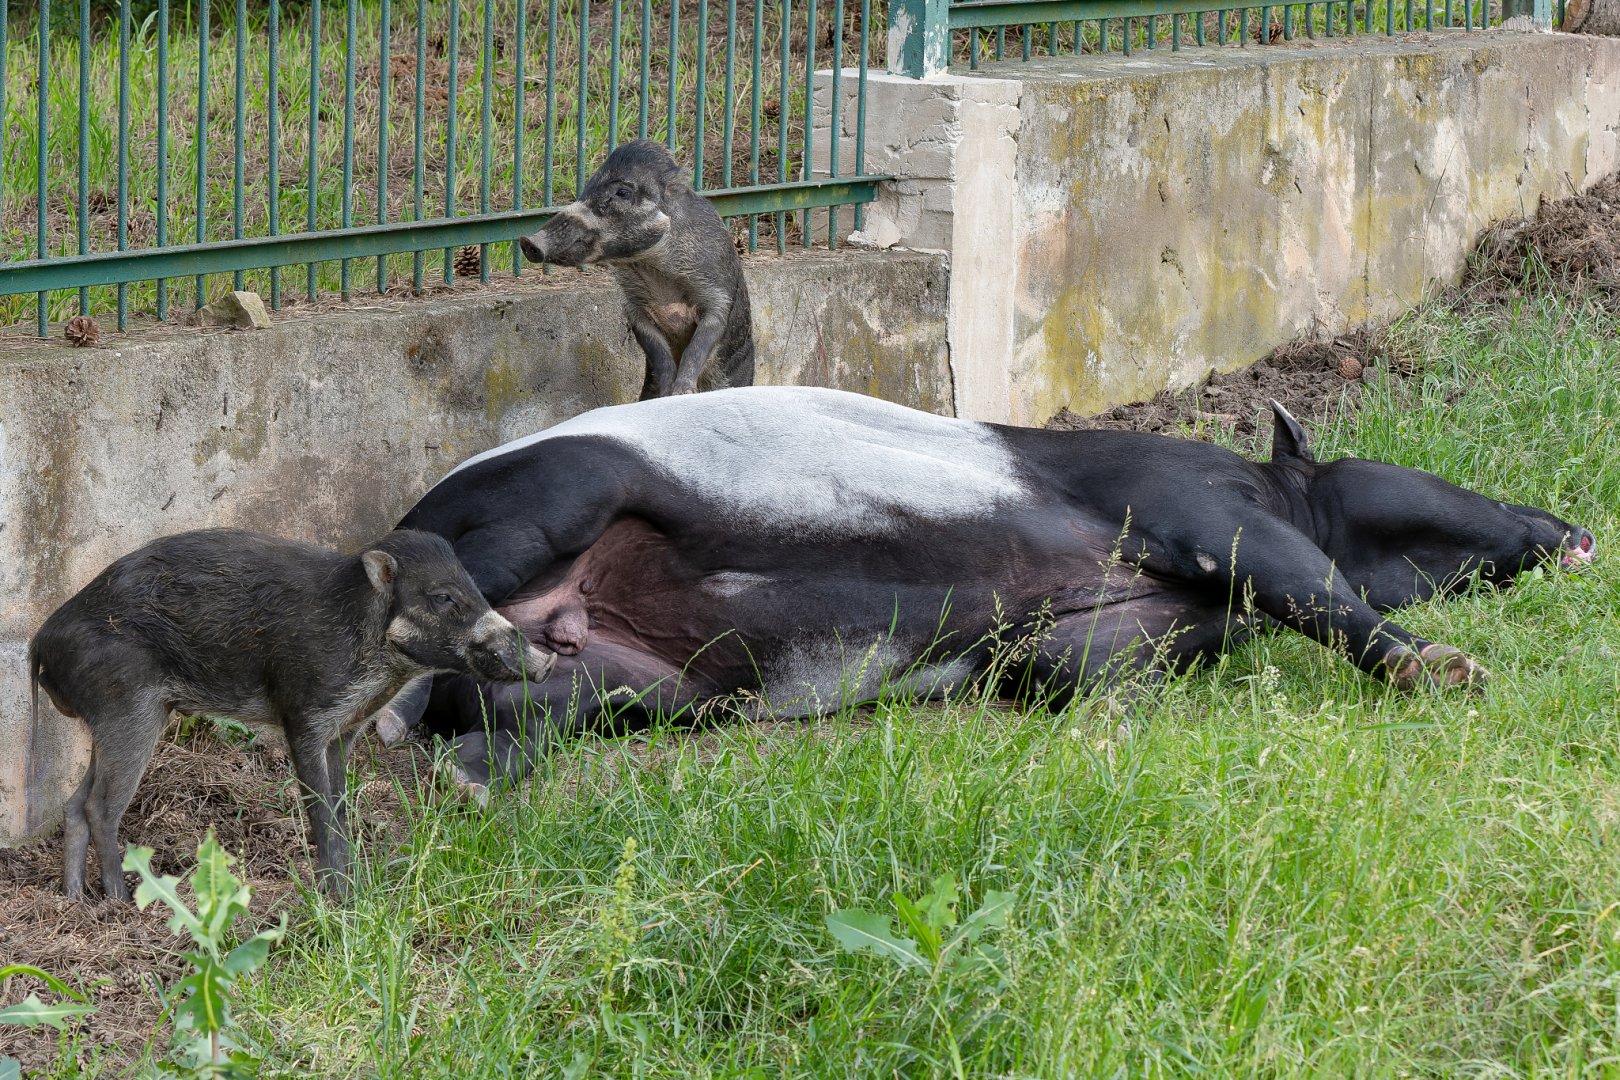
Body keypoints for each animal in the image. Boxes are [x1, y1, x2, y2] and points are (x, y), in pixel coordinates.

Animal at [28, 528, 555, 901]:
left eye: (474, 589)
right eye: (443, 597)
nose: (546, 660)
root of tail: (40, 643)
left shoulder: (346, 730)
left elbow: (341, 804)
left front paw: (357, 887)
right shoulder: (304, 716)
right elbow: (319, 807)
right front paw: (337, 899)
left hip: (110, 722)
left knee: (74, 804)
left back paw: (75, 900)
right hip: (128, 711)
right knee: (99, 807)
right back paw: (120, 901)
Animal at [518, 139, 755, 399]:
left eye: (622, 193)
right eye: (587, 188)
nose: (528, 241)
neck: (651, 266)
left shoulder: (718, 293)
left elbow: (700, 342)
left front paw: (682, 393)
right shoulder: (634, 308)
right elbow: (657, 351)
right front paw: (664, 394)